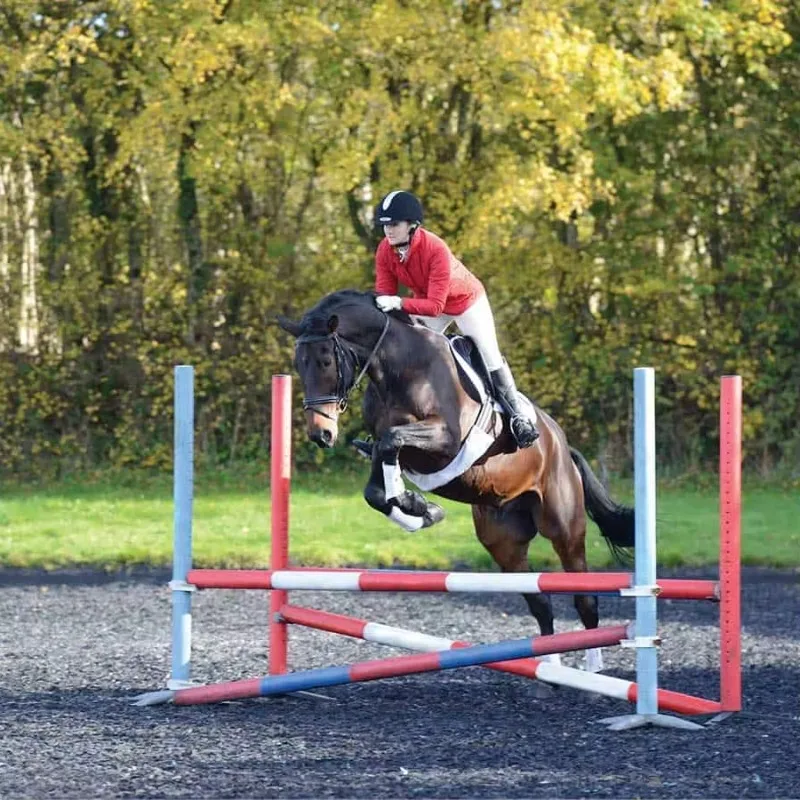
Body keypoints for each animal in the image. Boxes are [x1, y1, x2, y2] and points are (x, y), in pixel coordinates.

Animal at [278, 289, 635, 673]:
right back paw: (550, 669)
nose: (321, 434)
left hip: (564, 528)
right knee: (540, 604)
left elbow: (392, 441)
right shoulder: (386, 447)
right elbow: (377, 485)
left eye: (326, 362)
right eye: (299, 364)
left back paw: (594, 669)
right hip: (504, 542)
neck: (398, 369)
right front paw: (419, 509)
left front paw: (416, 505)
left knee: (585, 598)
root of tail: (563, 447)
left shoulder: (445, 440)